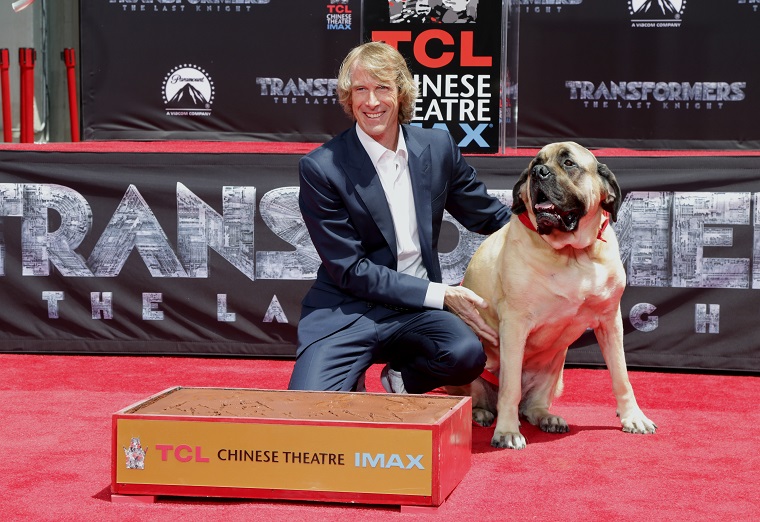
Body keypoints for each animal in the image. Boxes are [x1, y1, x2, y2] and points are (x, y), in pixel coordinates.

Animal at [448, 141, 656, 446]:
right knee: (485, 398)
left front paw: (633, 416)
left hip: (555, 369)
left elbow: (621, 375)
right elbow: (510, 387)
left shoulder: (610, 321)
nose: (539, 172)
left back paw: (547, 418)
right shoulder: (515, 325)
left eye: (569, 163)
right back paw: (481, 414)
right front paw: (507, 432)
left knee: (532, 405)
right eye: (535, 163)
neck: (572, 254)